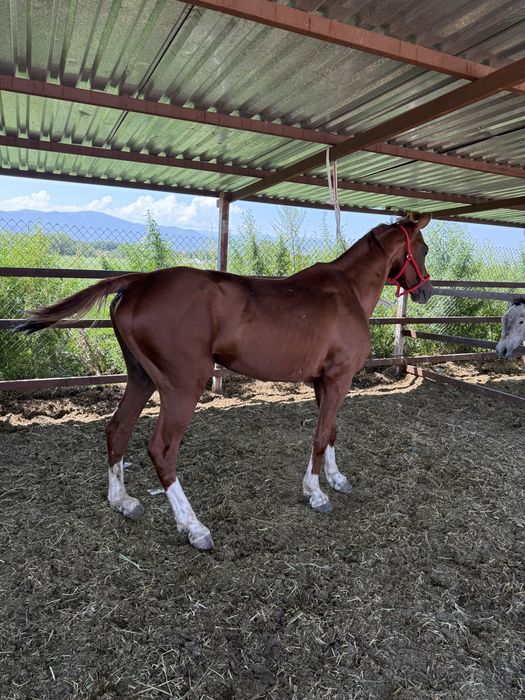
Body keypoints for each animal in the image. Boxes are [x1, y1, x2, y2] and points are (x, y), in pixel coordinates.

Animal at [16, 214, 432, 550]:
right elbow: (319, 436)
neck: (346, 291)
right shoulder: (338, 379)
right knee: (161, 449)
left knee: (117, 429)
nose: (426, 289)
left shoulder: (325, 382)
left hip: (141, 379)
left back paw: (123, 501)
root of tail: (140, 282)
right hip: (182, 388)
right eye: (424, 248)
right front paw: (316, 493)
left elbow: (329, 432)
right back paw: (194, 527)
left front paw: (336, 479)